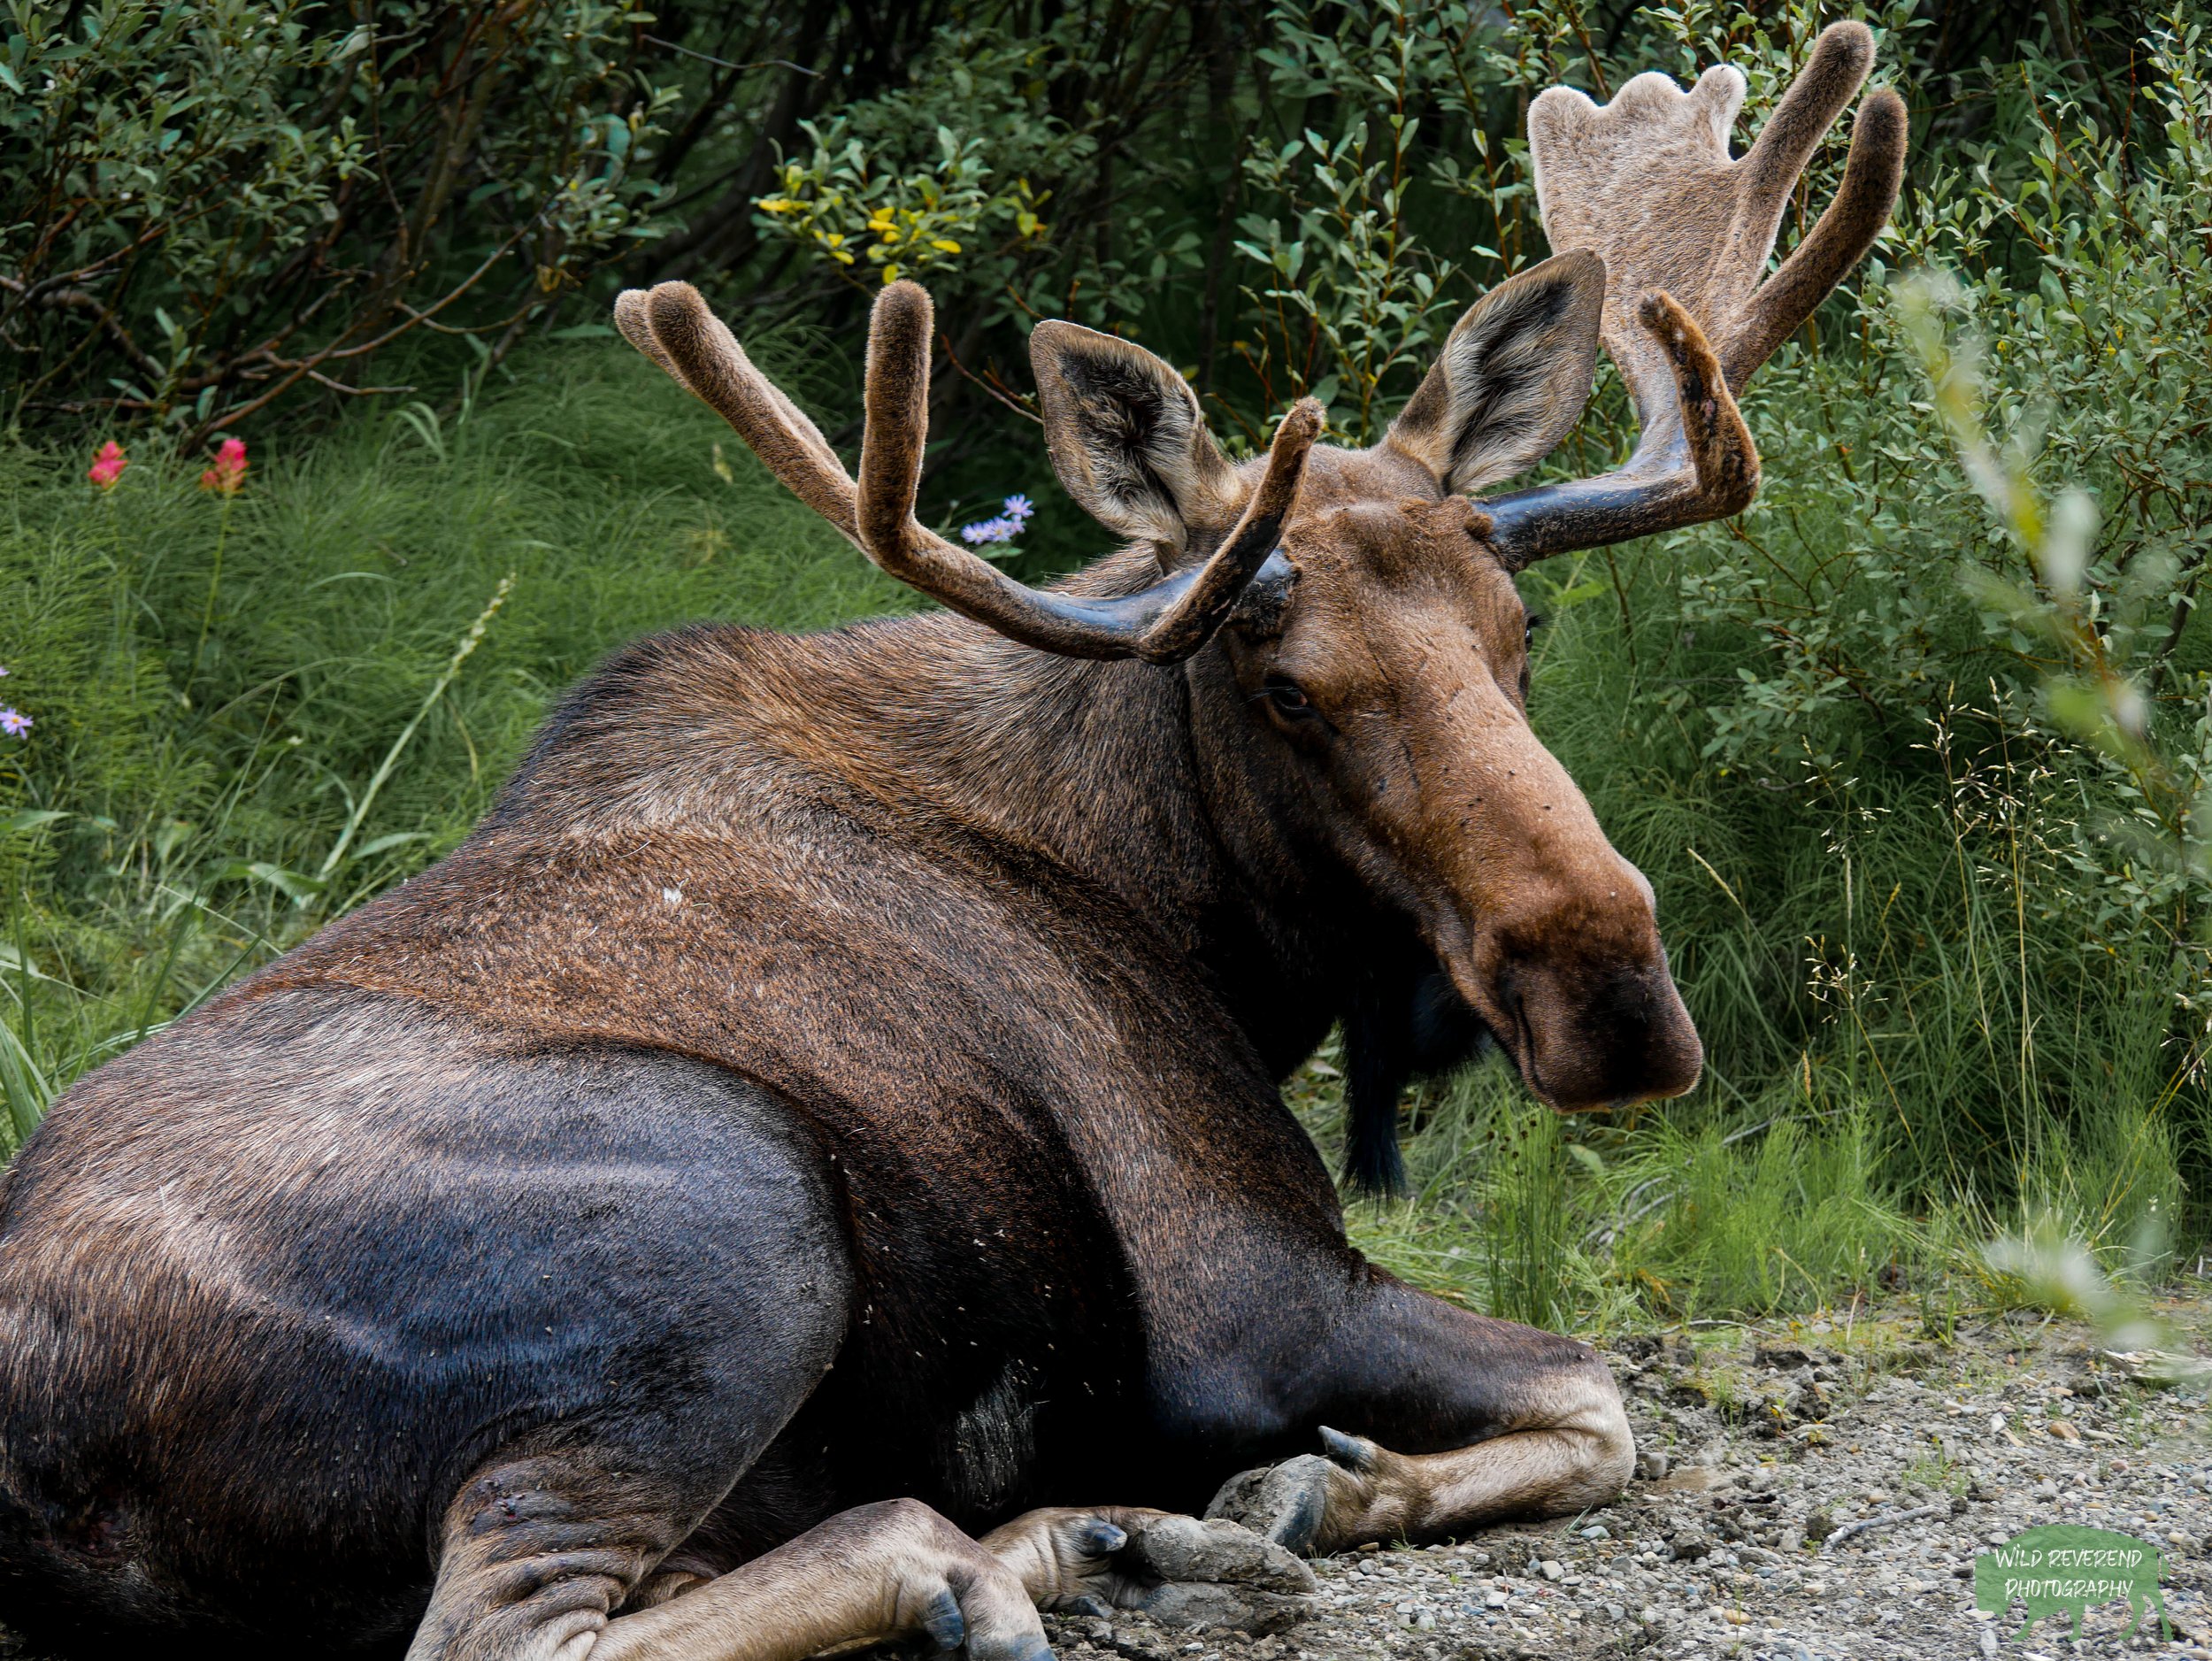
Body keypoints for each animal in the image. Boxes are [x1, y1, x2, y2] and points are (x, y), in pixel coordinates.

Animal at [0, 28, 1905, 1661]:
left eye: (1522, 633)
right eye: (1284, 684)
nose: (1611, 992)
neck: (1192, 917)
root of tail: (36, 1430)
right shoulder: (1250, 1291)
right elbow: (1599, 1394)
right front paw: (1310, 1486)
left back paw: (1101, 1536)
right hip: (731, 1212)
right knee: (530, 1620)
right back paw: (998, 1558)